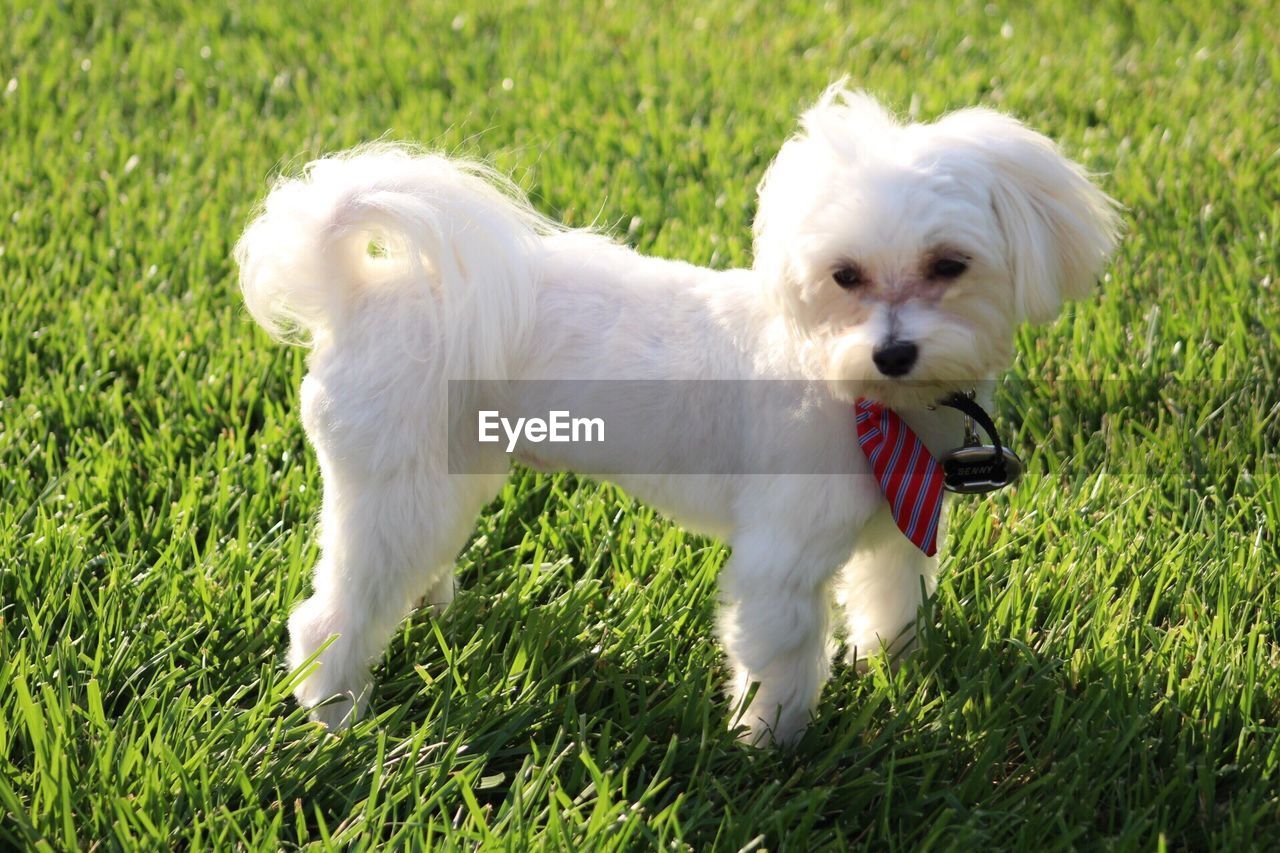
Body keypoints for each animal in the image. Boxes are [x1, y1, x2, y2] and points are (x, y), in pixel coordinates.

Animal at [235, 83, 1116, 742]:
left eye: (949, 265)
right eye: (844, 275)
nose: (893, 353)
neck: (860, 397)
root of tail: (354, 288)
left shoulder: (894, 530)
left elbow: (894, 601)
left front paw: (897, 671)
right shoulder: (782, 556)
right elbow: (783, 656)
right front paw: (770, 746)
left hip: (448, 472)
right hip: (395, 485)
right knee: (333, 612)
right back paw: (336, 712)